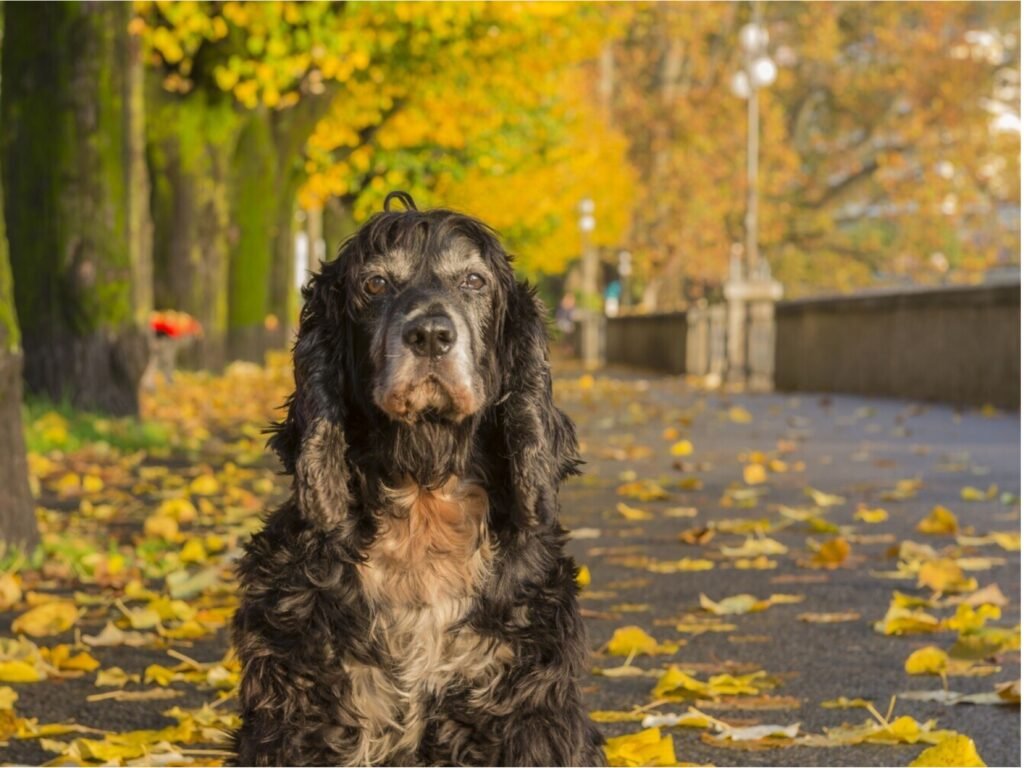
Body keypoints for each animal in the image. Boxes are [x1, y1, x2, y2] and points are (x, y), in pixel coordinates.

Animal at [232, 192, 598, 765]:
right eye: (376, 284)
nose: (430, 334)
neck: (424, 505)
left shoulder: (525, 711)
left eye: (473, 281)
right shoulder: (299, 710)